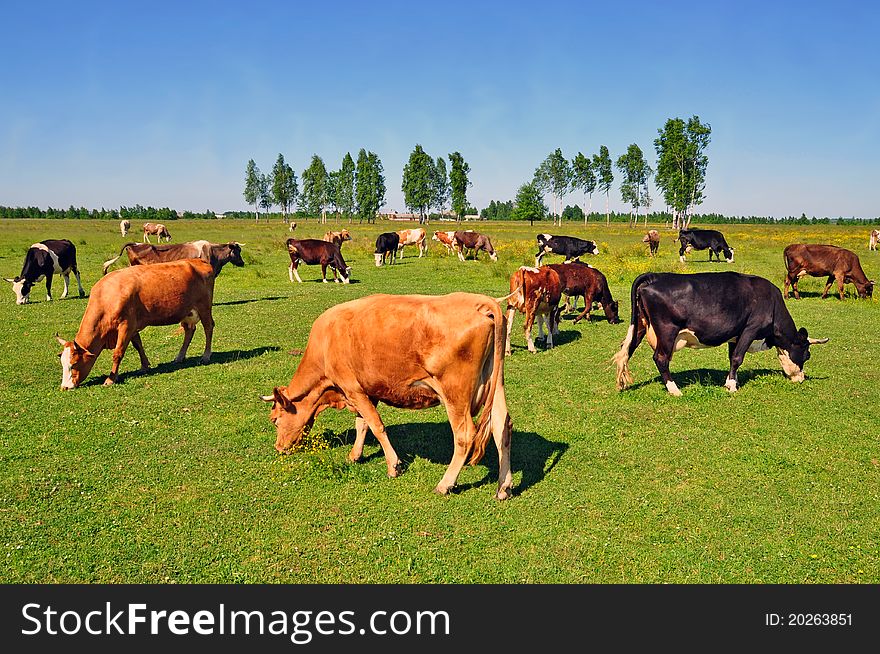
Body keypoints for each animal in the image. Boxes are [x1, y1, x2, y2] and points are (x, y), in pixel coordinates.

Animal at [56, 258, 217, 390]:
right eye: (62, 363)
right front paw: (144, 366)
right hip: (187, 312)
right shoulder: (132, 327)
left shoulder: (126, 326)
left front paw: (111, 379)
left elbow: (118, 353)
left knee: (208, 328)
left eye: (74, 364)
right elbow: (138, 345)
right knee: (189, 330)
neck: (107, 297)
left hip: (204, 308)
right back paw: (179, 357)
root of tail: (199, 260)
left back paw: (206, 355)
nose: (65, 387)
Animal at [258, 294, 512, 502]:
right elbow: (362, 424)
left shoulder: (352, 388)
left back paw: (445, 484)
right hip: (495, 383)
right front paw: (355, 455)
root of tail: (481, 302)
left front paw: (394, 465)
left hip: (455, 394)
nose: (279, 448)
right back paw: (504, 487)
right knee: (502, 427)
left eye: (275, 420)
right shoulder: (366, 391)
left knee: (464, 435)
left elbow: (376, 425)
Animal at [612, 270, 824, 398]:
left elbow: (732, 357)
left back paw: (622, 384)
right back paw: (674, 389)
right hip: (667, 330)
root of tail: (655, 276)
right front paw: (731, 386)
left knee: (627, 350)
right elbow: (738, 358)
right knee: (661, 358)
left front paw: (733, 380)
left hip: (640, 325)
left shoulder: (735, 334)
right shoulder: (750, 328)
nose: (801, 378)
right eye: (807, 355)